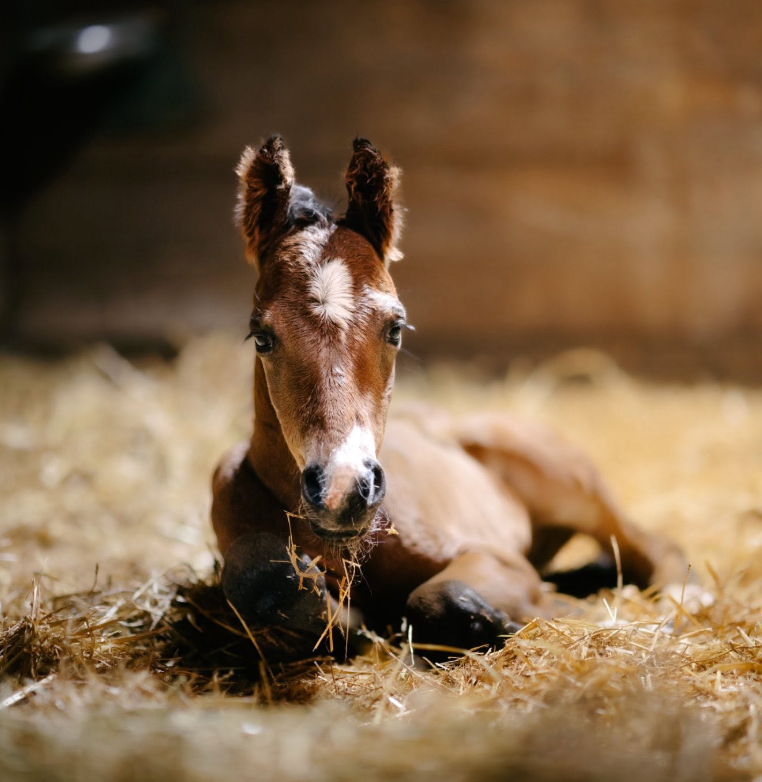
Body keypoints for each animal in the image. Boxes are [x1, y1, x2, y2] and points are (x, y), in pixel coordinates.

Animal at [211, 136, 687, 654]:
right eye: (261, 337)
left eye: (396, 328)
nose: (343, 490)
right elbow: (261, 578)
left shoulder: (498, 557)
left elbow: (440, 596)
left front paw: (526, 617)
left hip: (576, 487)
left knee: (649, 545)